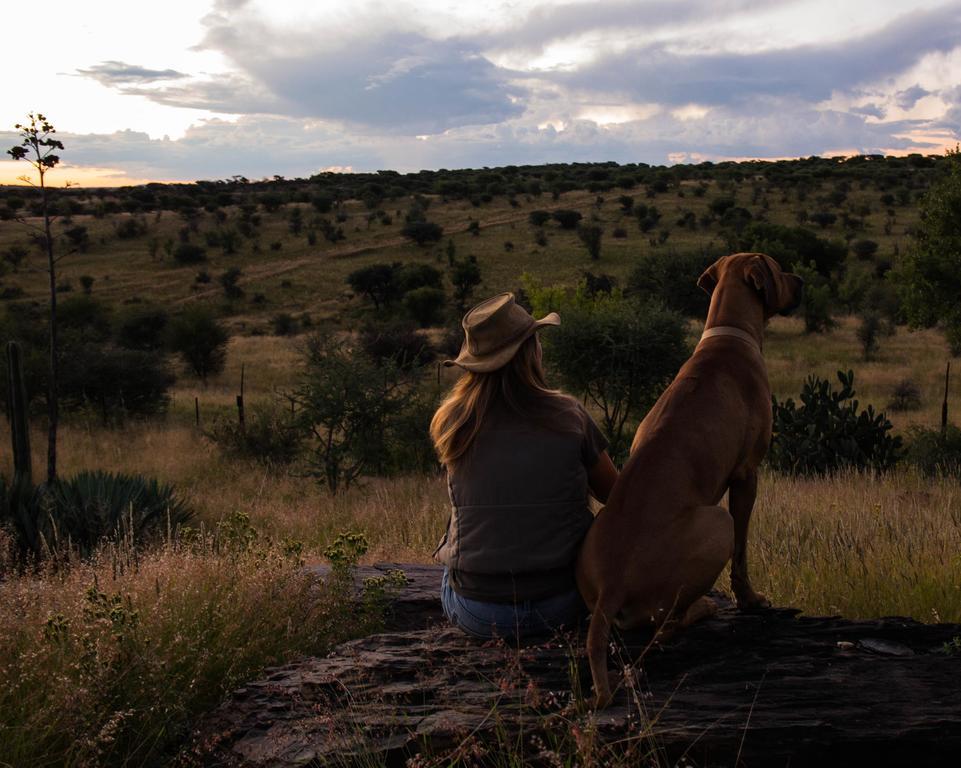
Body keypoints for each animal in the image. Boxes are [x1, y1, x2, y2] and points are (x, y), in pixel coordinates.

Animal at [576, 252, 804, 708]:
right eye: (778, 267)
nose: (802, 282)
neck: (729, 333)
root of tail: (610, 586)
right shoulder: (747, 474)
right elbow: (742, 553)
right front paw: (750, 600)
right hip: (716, 522)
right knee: (665, 625)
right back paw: (704, 608)